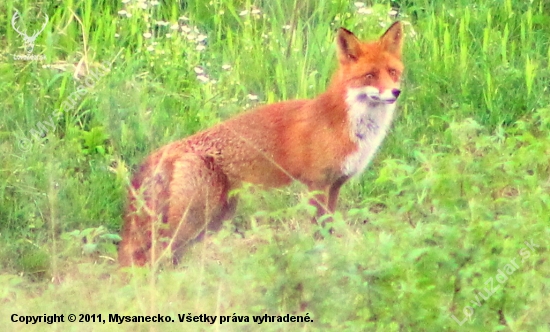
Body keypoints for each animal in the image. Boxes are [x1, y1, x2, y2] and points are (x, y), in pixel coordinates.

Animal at [119, 22, 406, 266]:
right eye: (370, 76)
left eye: (392, 72)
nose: (395, 92)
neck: (347, 126)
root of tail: (172, 148)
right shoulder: (317, 185)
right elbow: (318, 233)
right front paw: (321, 262)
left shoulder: (334, 186)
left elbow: (328, 229)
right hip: (196, 218)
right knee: (155, 255)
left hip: (215, 217)